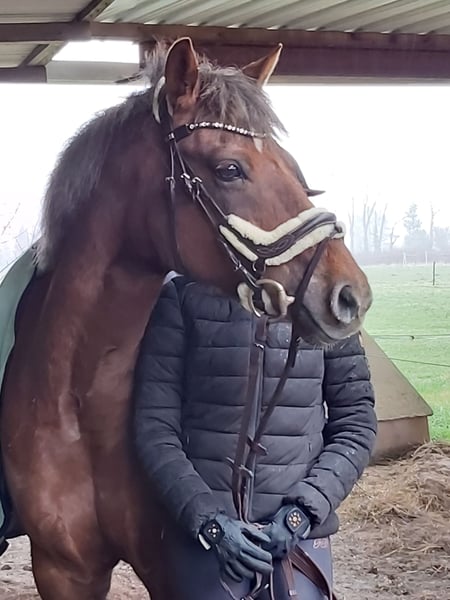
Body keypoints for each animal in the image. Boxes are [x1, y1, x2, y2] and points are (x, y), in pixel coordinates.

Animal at [0, 38, 372, 599]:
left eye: (295, 171)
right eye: (229, 169)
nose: (350, 295)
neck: (79, 394)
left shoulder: (170, 570)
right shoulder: (63, 570)